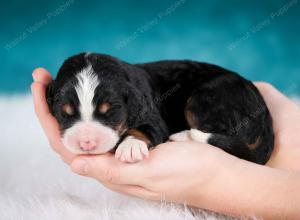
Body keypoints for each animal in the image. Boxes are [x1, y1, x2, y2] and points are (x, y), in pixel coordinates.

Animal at [47, 52, 274, 164]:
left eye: (110, 112)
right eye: (64, 113)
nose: (86, 143)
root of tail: (264, 115)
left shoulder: (152, 116)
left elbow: (144, 129)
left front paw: (130, 146)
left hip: (204, 100)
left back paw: (183, 136)